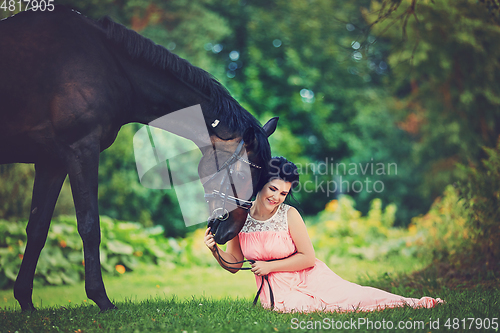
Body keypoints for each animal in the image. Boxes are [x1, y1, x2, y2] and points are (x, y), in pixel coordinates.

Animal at [0, 7, 278, 312]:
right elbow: (89, 225)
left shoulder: (51, 161)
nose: (229, 232)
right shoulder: (81, 149)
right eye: (241, 176)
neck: (109, 64)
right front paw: (101, 298)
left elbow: (37, 228)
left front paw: (26, 302)